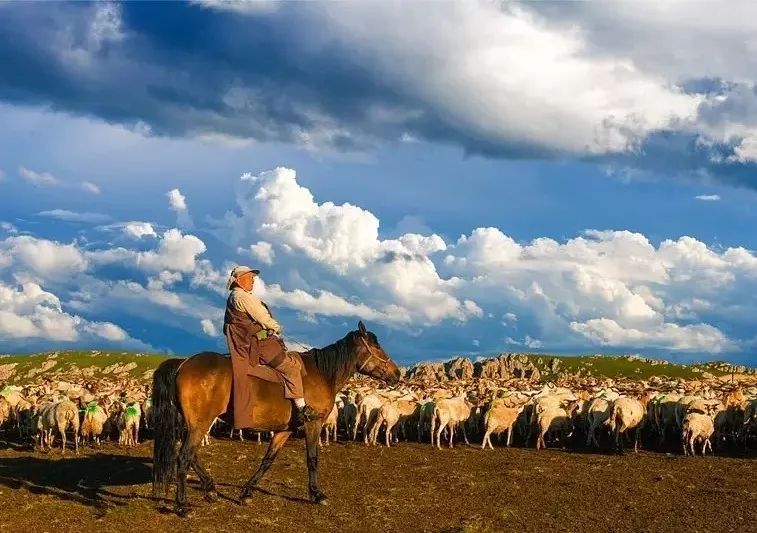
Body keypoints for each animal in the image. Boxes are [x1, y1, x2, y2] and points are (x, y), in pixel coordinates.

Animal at [150, 320, 398, 516]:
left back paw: (210, 488)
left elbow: (268, 459)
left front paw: (247, 492)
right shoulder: (313, 424)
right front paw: (317, 494)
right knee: (184, 457)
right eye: (377, 346)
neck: (322, 373)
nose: (397, 374)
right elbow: (312, 459)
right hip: (199, 424)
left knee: (191, 456)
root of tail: (183, 363)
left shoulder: (284, 430)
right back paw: (182, 506)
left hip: (195, 425)